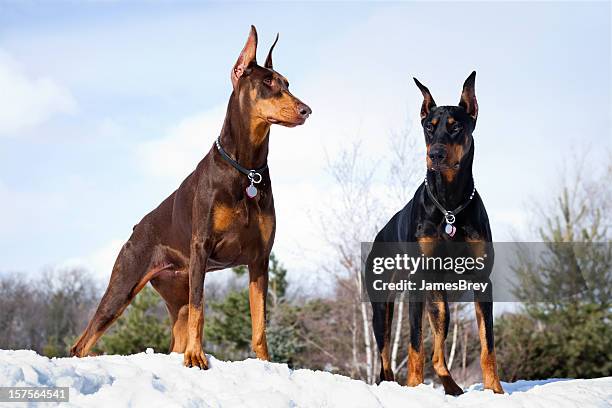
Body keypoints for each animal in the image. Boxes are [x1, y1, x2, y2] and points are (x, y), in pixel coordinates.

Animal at [69, 27, 314, 368]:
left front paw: (266, 364)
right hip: (124, 285)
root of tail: (136, 229)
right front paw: (196, 357)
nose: (307, 110)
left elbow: (260, 324)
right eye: (267, 83)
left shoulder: (260, 259)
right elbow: (201, 309)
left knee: (175, 338)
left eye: (287, 83)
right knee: (82, 343)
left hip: (176, 292)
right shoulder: (202, 248)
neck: (247, 170)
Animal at [368, 72, 502, 396]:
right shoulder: (417, 282)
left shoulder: (482, 280)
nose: (435, 154)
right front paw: (415, 388)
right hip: (383, 307)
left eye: (456, 127)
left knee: (439, 354)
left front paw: (496, 391)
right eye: (429, 127)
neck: (449, 205)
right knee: (385, 359)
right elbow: (415, 345)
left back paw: (453, 388)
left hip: (440, 303)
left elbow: (487, 345)